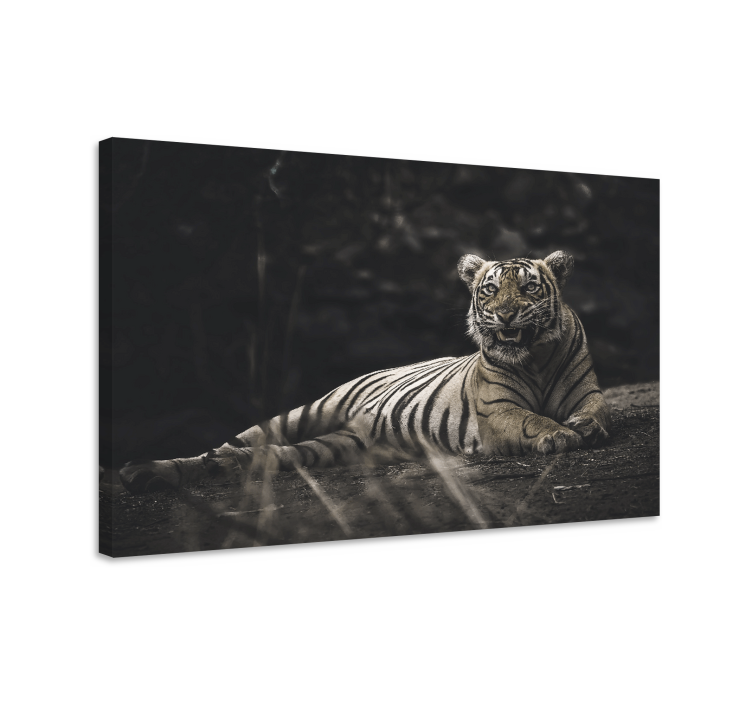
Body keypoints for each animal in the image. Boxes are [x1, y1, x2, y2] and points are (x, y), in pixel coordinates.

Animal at [120, 250, 611, 494]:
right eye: (490, 290)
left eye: (528, 288)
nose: (505, 315)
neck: (536, 359)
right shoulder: (497, 412)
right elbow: (530, 419)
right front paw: (561, 434)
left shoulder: (587, 392)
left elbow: (595, 410)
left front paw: (584, 427)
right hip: (306, 411)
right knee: (240, 440)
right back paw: (150, 470)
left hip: (334, 446)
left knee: (270, 455)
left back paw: (207, 468)